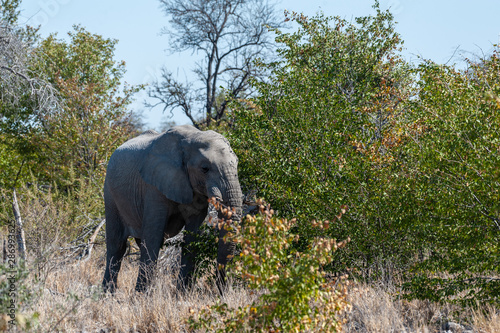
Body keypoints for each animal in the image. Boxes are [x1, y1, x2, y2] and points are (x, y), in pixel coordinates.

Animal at [101, 124, 242, 294]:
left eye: (237, 163)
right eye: (205, 168)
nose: (221, 293)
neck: (192, 137)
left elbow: (191, 238)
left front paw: (182, 294)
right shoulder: (154, 186)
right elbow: (153, 236)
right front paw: (141, 296)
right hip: (110, 193)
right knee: (117, 245)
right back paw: (107, 294)